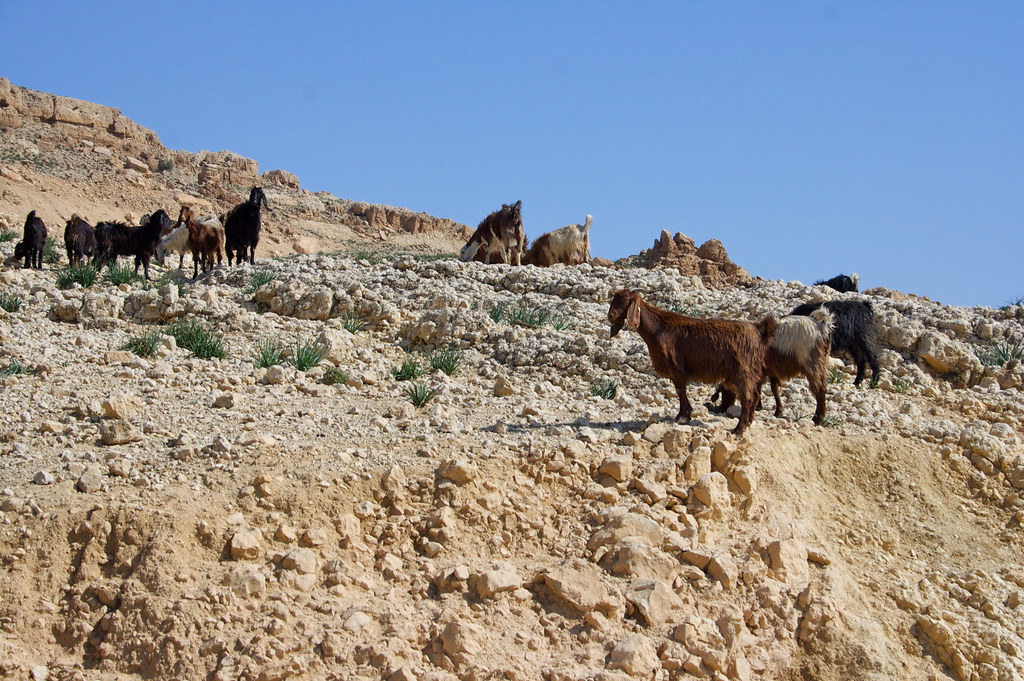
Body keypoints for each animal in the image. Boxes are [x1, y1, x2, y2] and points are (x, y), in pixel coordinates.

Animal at [607, 289, 776, 435]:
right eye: (614, 299)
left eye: (626, 302)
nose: (610, 315)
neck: (658, 328)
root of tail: (758, 332)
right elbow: (681, 391)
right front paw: (685, 415)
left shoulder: (676, 367)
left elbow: (680, 391)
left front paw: (682, 416)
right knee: (755, 395)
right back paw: (748, 423)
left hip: (743, 371)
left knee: (748, 397)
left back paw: (738, 429)